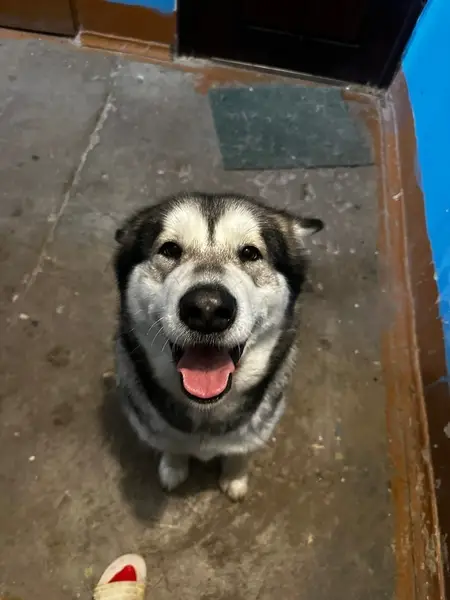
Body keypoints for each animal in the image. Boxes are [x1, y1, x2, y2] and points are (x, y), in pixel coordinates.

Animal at [113, 192, 323, 501]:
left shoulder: (257, 427)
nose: (207, 309)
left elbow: (241, 451)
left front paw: (235, 477)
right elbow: (171, 444)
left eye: (250, 253)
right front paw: (174, 466)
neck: (206, 412)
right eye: (170, 249)